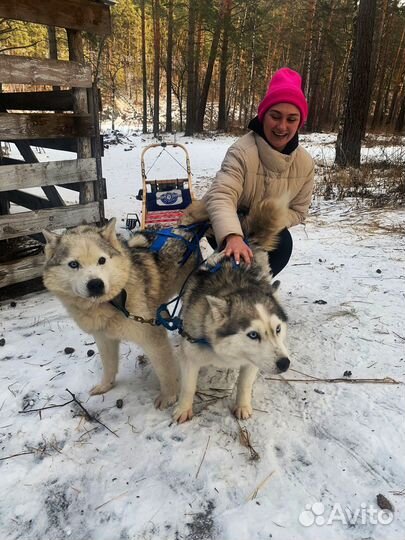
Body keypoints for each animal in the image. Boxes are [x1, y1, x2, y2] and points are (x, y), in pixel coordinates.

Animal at [43, 219, 200, 410]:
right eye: (73, 264)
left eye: (101, 260)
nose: (95, 284)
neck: (114, 302)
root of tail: (186, 228)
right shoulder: (103, 338)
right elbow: (109, 366)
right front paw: (105, 386)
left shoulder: (152, 338)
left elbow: (165, 371)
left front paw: (168, 396)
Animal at [174, 196, 290, 424]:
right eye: (253, 335)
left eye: (278, 329)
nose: (284, 363)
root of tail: (246, 240)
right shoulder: (190, 355)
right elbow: (187, 387)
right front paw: (184, 408)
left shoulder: (252, 362)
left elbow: (244, 384)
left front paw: (242, 406)